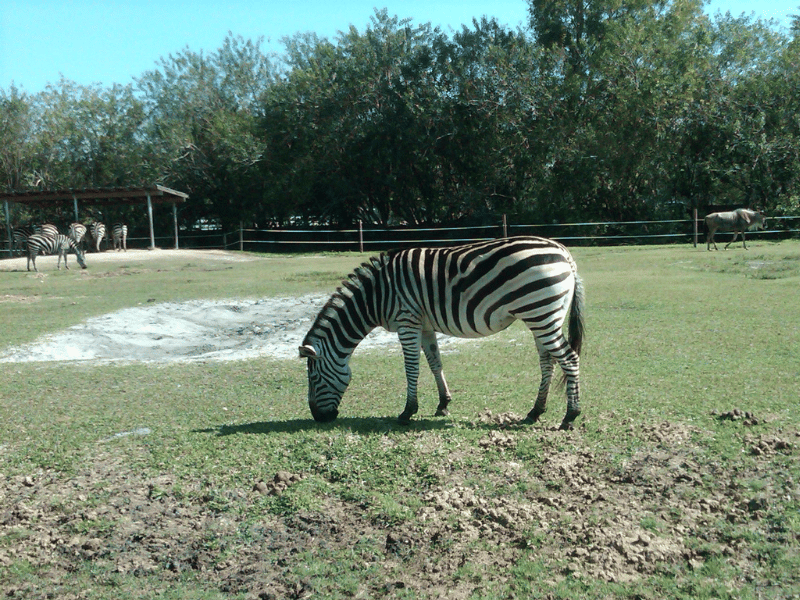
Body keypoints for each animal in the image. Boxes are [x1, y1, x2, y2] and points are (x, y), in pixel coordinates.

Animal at [300, 237, 588, 428]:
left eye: (314, 379)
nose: (319, 418)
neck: (376, 296)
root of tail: (564, 253)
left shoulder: (407, 320)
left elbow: (411, 368)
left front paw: (407, 412)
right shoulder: (425, 325)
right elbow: (435, 363)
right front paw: (443, 404)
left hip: (540, 314)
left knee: (569, 359)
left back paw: (570, 416)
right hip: (543, 316)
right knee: (548, 360)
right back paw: (535, 411)